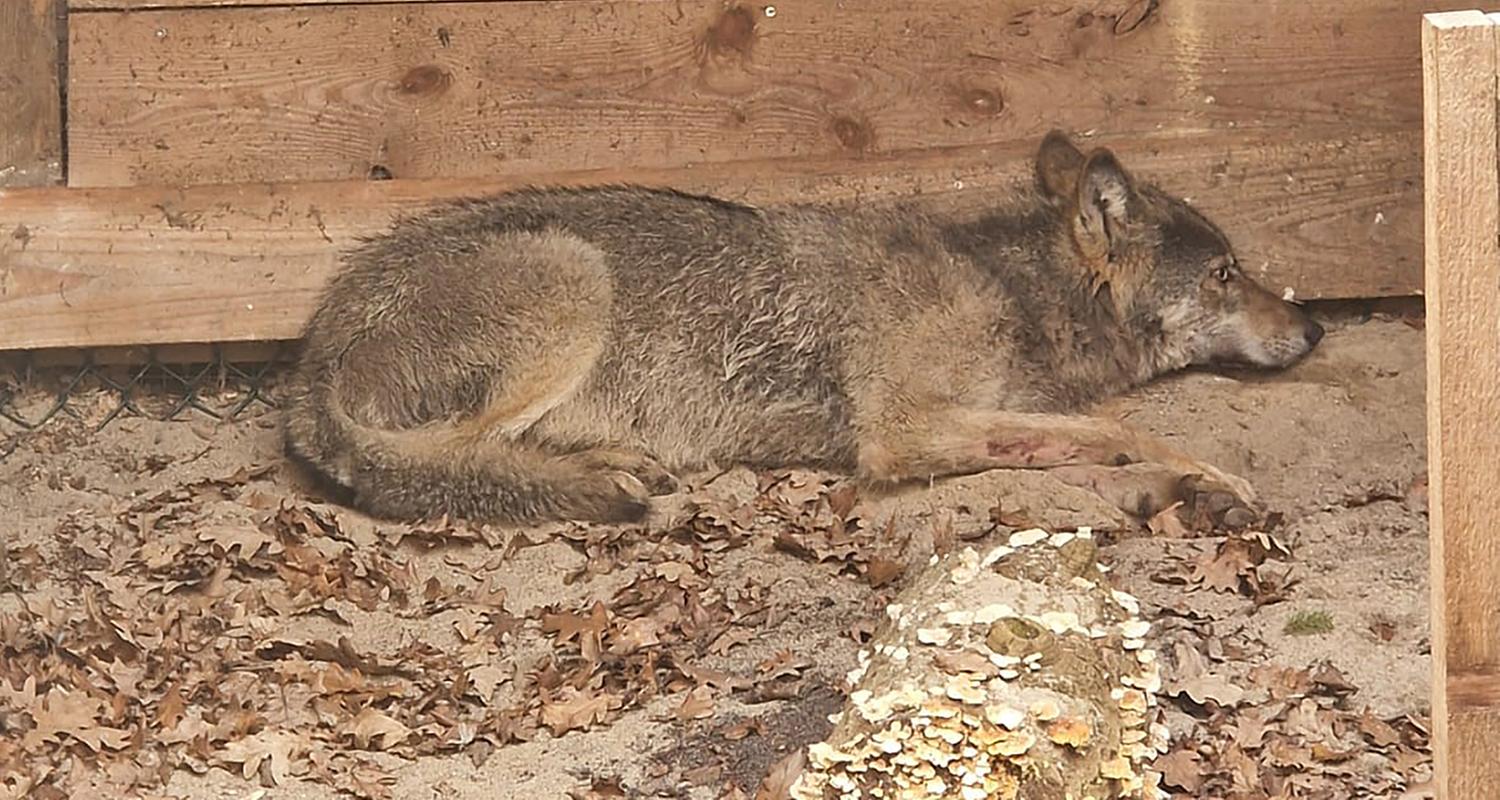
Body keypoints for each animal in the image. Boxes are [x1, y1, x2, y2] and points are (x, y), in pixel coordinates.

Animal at [282, 130, 1324, 527]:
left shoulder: (966, 421)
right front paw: (1210, 478)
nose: (1314, 327)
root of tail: (310, 356)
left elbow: (1073, 444)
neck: (1008, 289)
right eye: (1227, 274)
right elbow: (1121, 428)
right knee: (440, 463)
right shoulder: (900, 432)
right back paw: (597, 478)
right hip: (573, 278)